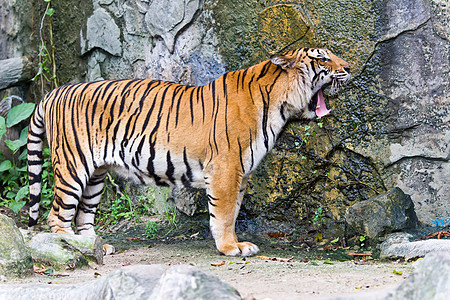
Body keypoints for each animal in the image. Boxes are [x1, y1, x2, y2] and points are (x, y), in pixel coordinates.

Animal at [27, 48, 352, 256]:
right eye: (322, 57)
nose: (349, 67)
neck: (279, 106)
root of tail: (53, 92)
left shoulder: (242, 173)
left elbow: (233, 211)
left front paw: (234, 243)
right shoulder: (226, 168)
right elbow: (224, 213)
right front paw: (230, 248)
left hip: (95, 175)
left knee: (84, 216)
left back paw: (97, 247)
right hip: (73, 167)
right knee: (57, 216)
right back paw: (71, 248)